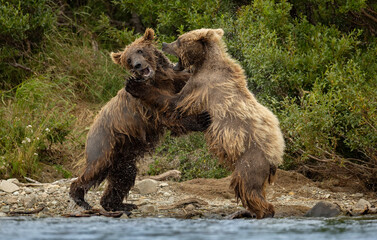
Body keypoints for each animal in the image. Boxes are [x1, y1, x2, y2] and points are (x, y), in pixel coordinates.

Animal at [69, 28, 210, 212]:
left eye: (140, 51)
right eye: (128, 60)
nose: (137, 65)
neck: (158, 78)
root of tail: (90, 128)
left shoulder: (175, 80)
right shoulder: (148, 107)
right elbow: (170, 114)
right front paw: (201, 119)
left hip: (123, 155)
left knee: (124, 177)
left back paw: (119, 204)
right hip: (104, 144)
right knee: (95, 169)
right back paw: (80, 198)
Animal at [125, 28, 284, 219]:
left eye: (179, 40)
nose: (164, 44)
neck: (205, 62)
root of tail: (276, 154)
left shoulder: (202, 85)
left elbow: (175, 102)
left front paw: (136, 86)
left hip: (251, 160)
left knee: (247, 186)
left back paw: (259, 211)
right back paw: (247, 212)